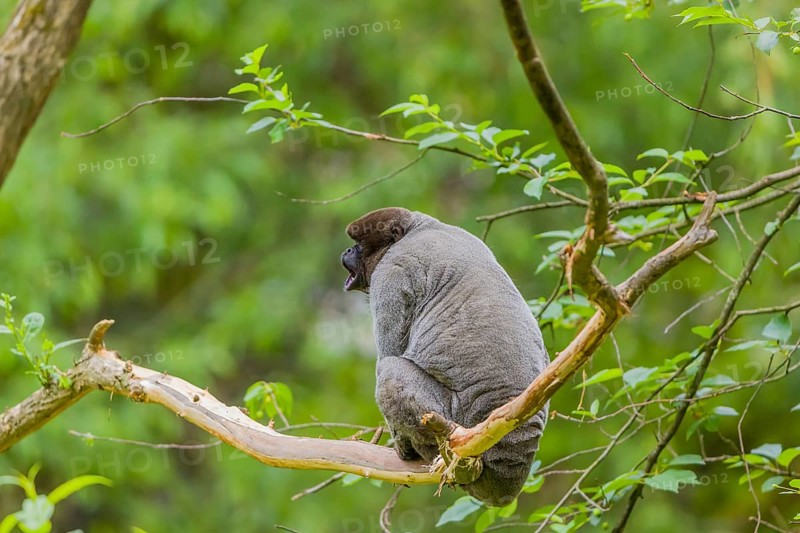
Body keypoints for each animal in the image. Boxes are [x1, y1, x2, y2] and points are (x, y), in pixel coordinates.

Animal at [341, 207, 549, 507]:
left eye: (359, 245)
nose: (347, 250)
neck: (418, 228)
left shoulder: (391, 272)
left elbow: (390, 352)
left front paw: (400, 443)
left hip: (452, 417)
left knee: (390, 370)